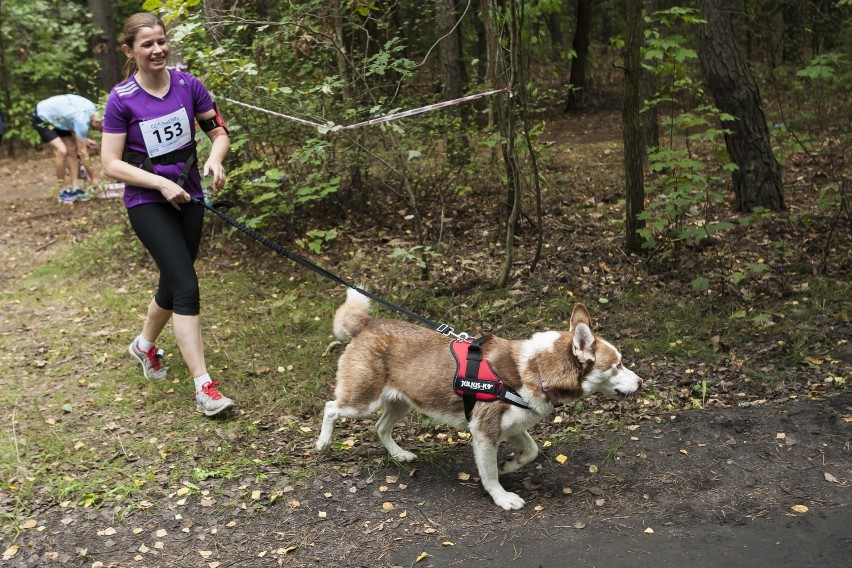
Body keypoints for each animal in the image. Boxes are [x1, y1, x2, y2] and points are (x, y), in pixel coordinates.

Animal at [316, 288, 644, 510]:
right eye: (617, 365)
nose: (641, 382)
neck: (536, 369)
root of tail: (368, 323)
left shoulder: (512, 426)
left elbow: (532, 450)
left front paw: (511, 465)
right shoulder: (484, 432)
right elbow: (489, 474)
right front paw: (502, 496)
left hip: (401, 403)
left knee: (380, 427)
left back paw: (398, 454)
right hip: (363, 402)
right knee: (331, 407)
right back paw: (323, 442)